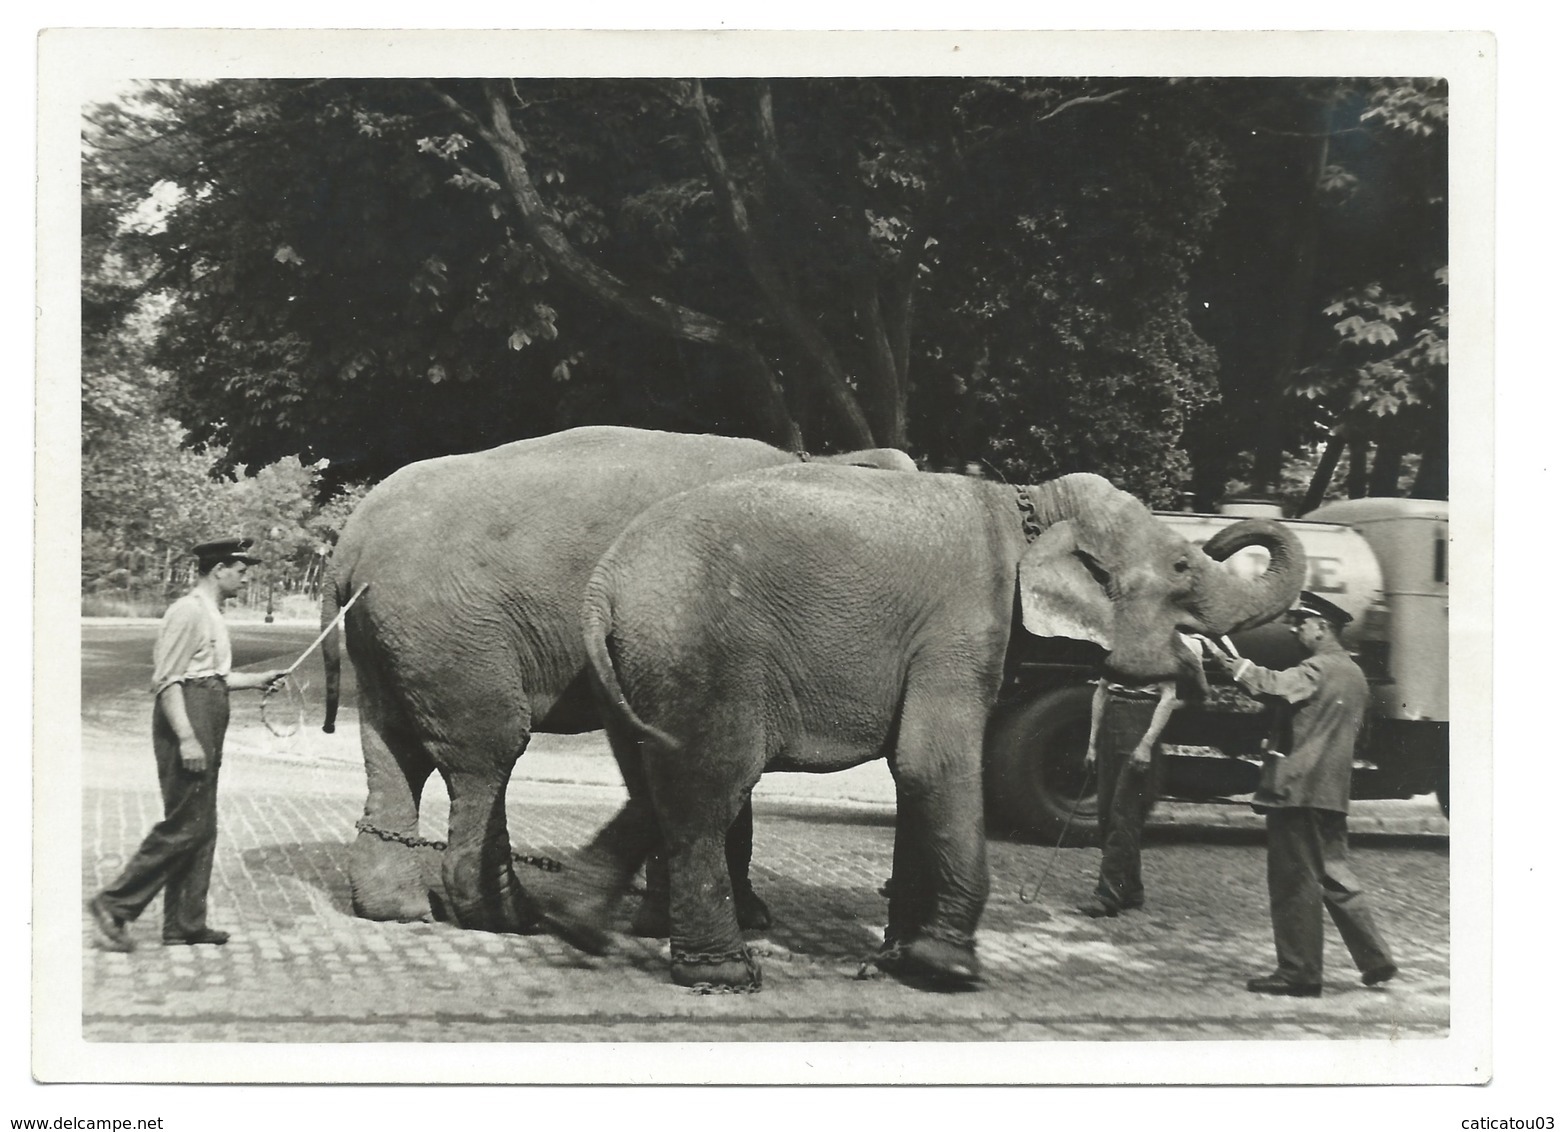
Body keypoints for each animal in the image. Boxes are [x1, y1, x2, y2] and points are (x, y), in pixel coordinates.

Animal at [323, 422, 920, 926]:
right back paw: (510, 918)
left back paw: (401, 911)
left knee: (393, 750)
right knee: (485, 754)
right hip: (453, 631)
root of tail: (350, 545)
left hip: (392, 640)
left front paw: (742, 917)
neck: (821, 462)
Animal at [538, 463, 1308, 989]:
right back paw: (724, 975)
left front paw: (896, 958)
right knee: (710, 786)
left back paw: (576, 928)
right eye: (1180, 566)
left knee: (660, 778)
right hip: (699, 650)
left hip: (640, 663)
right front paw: (949, 969)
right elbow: (931, 764)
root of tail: (604, 585)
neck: (1030, 504)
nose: (1240, 517)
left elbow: (916, 773)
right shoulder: (964, 625)